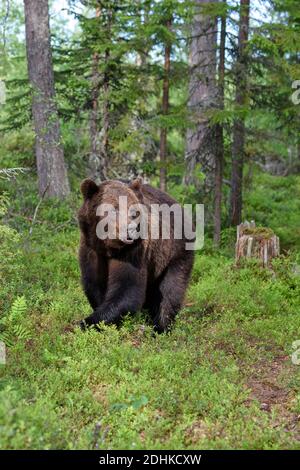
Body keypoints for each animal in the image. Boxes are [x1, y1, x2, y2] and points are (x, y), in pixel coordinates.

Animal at [77, 178, 195, 332]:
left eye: (133, 211)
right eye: (114, 209)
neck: (108, 247)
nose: (130, 229)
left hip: (175, 252)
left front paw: (87, 322)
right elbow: (94, 284)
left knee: (171, 289)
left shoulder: (132, 252)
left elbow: (127, 288)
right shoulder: (91, 250)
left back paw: (160, 327)